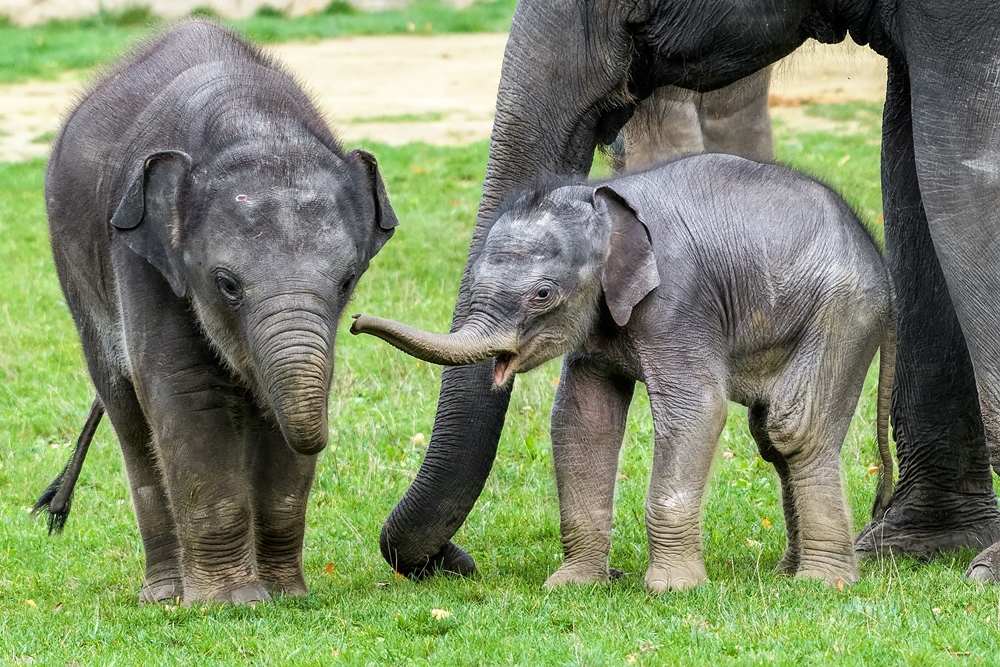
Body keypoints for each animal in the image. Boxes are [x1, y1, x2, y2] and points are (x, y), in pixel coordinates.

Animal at [39, 22, 398, 604]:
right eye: (226, 284)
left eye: (348, 280)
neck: (254, 124)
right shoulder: (141, 257)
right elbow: (187, 393)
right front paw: (227, 604)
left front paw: (284, 596)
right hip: (74, 272)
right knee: (127, 412)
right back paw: (165, 595)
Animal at [352, 154, 892, 592]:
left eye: (542, 295)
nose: (355, 321)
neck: (603, 201)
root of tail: (876, 252)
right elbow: (583, 420)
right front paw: (572, 585)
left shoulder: (677, 300)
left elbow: (697, 409)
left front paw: (672, 589)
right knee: (771, 439)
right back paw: (789, 571)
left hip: (842, 312)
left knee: (793, 427)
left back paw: (821, 582)